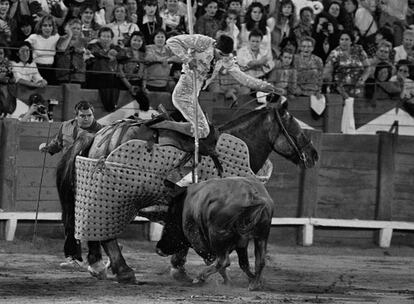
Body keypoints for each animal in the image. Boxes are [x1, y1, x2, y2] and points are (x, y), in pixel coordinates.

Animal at [57, 94, 316, 282]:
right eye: (293, 124)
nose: (313, 154)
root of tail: (100, 134)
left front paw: (178, 267)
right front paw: (183, 269)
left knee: (92, 228)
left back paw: (98, 266)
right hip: (115, 196)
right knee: (105, 234)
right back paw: (123, 271)